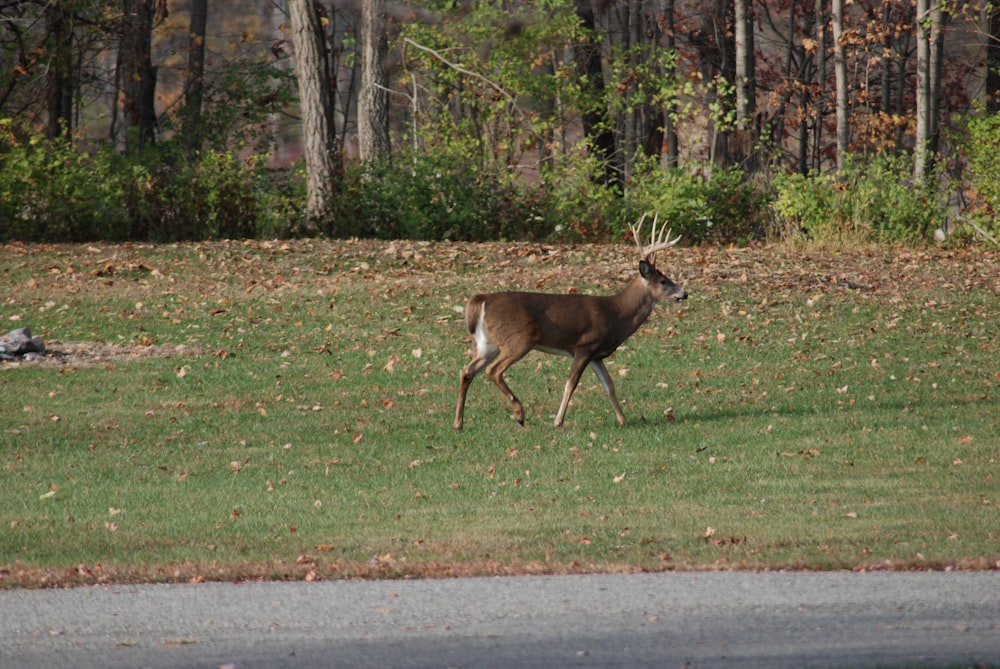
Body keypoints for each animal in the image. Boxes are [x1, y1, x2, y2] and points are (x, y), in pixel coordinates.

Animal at [456, 217, 684, 430]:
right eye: (663, 281)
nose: (684, 293)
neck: (616, 315)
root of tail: (482, 300)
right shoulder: (585, 345)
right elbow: (570, 384)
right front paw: (558, 421)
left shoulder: (596, 355)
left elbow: (609, 385)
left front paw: (623, 420)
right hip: (518, 339)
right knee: (493, 370)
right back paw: (520, 415)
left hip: (487, 343)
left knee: (467, 371)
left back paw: (458, 423)